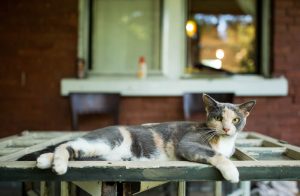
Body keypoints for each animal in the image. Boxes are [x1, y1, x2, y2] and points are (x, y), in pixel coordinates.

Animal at [35, 94, 255, 183]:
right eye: (218, 118)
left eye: (236, 119)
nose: (226, 128)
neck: (223, 141)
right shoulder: (188, 143)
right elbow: (217, 155)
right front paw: (232, 172)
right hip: (106, 141)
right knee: (67, 145)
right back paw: (58, 165)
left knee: (73, 149)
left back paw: (45, 160)